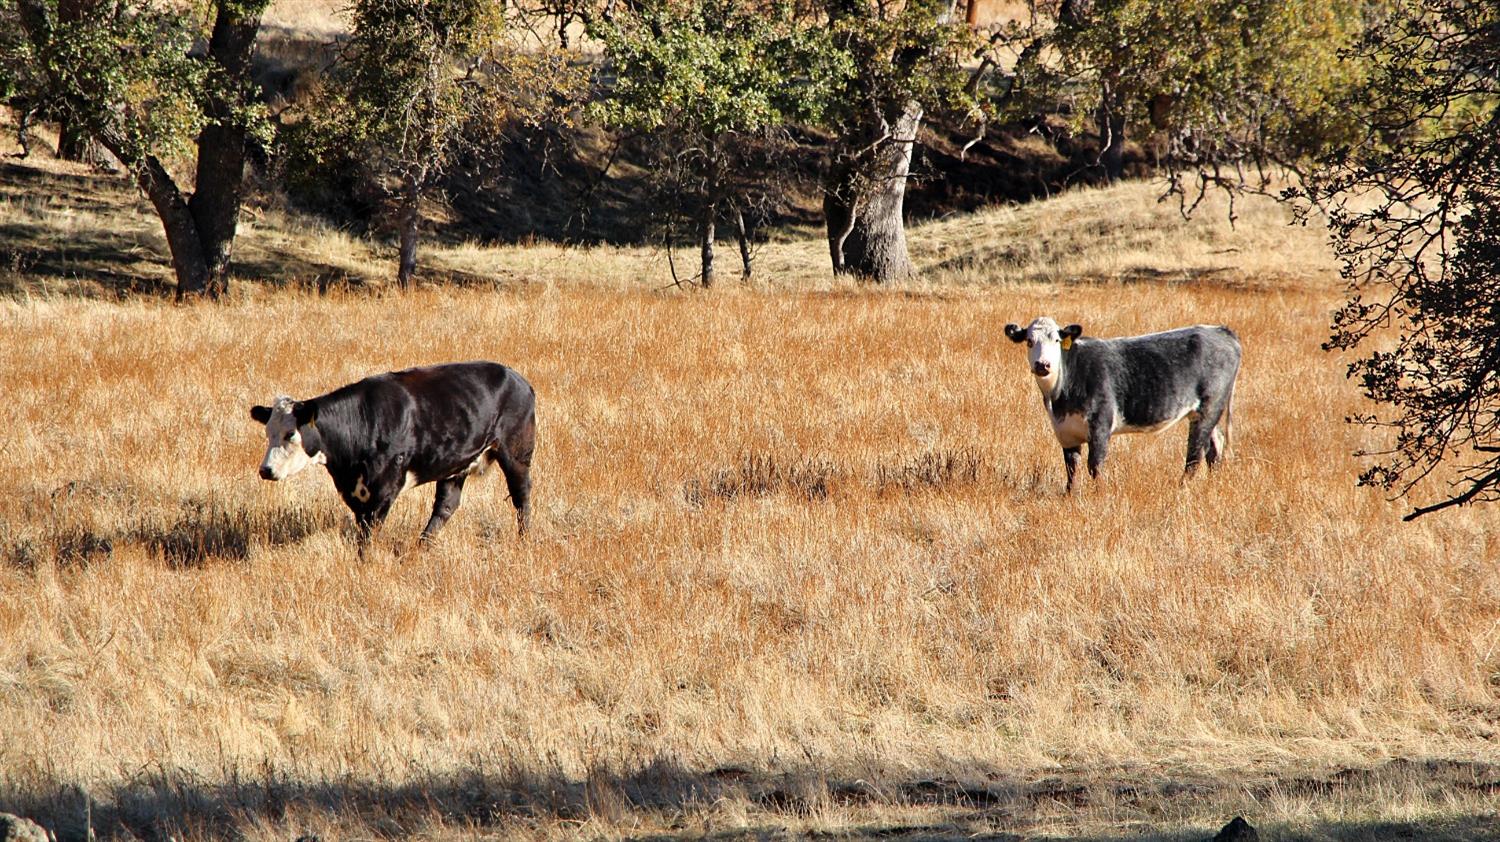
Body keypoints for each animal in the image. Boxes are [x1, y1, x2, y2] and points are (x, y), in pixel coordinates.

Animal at [252, 357, 540, 540]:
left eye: (291, 434)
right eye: (268, 432)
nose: (266, 470)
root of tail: (518, 379)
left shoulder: (385, 488)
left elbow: (369, 534)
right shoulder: (354, 492)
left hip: (516, 453)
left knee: (521, 496)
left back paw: (524, 539)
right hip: (456, 465)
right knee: (446, 505)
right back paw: (421, 547)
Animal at [1008, 319, 1242, 492]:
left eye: (1056, 340)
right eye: (1029, 341)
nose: (1042, 365)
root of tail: (1220, 331)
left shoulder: (1100, 425)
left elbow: (1095, 465)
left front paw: (1100, 496)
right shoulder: (1065, 433)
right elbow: (1071, 467)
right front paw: (1070, 495)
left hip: (1209, 407)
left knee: (1195, 454)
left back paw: (1182, 489)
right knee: (1214, 446)